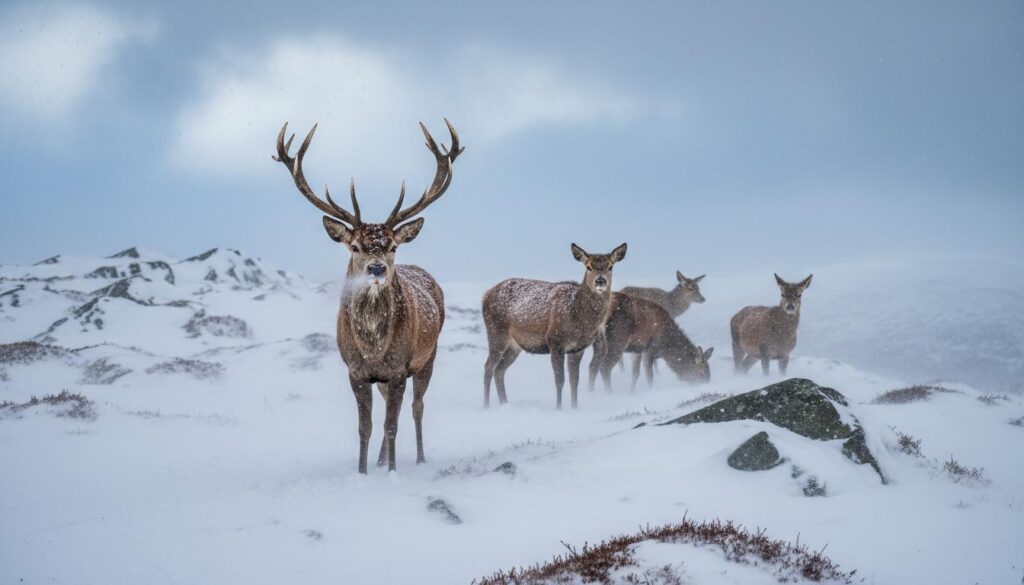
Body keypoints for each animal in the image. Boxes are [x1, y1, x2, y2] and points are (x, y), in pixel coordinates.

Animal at [273, 119, 463, 474]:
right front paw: (362, 471)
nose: (376, 268)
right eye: (355, 246)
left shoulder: (399, 368)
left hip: (428, 357)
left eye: (393, 246)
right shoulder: (356, 371)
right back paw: (380, 459)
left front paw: (392, 473)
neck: (374, 349)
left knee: (417, 407)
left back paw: (419, 457)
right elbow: (366, 426)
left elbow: (391, 424)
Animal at [482, 243, 627, 409]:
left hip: (515, 345)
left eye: (610, 266)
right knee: (488, 367)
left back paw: (504, 403)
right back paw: (486, 405)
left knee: (499, 370)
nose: (600, 281)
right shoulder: (555, 341)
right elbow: (560, 380)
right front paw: (559, 408)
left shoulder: (578, 348)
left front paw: (574, 407)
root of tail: (485, 296)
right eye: (588, 266)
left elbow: (574, 381)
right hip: (496, 333)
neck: (580, 321)